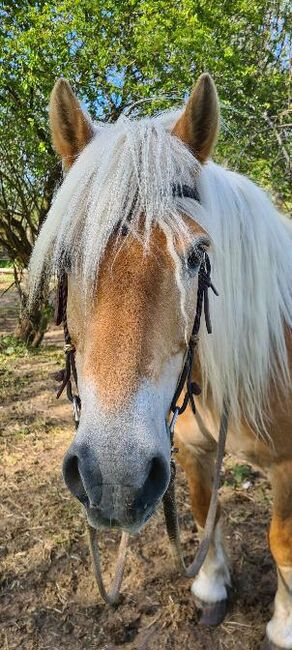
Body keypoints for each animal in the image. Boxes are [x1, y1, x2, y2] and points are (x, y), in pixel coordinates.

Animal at [28, 73, 292, 644]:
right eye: (67, 258)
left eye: (196, 257)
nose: (113, 479)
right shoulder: (188, 450)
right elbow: (203, 510)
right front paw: (211, 588)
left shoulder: (288, 465)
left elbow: (282, 540)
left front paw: (284, 624)